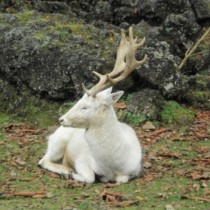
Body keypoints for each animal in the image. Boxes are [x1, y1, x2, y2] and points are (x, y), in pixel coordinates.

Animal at [39, 27, 148, 183]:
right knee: (43, 160)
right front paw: (73, 173)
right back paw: (65, 170)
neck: (115, 165)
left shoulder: (136, 169)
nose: (61, 119)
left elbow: (122, 180)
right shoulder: (82, 159)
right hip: (58, 142)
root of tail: (52, 135)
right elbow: (90, 177)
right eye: (78, 101)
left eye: (85, 107)